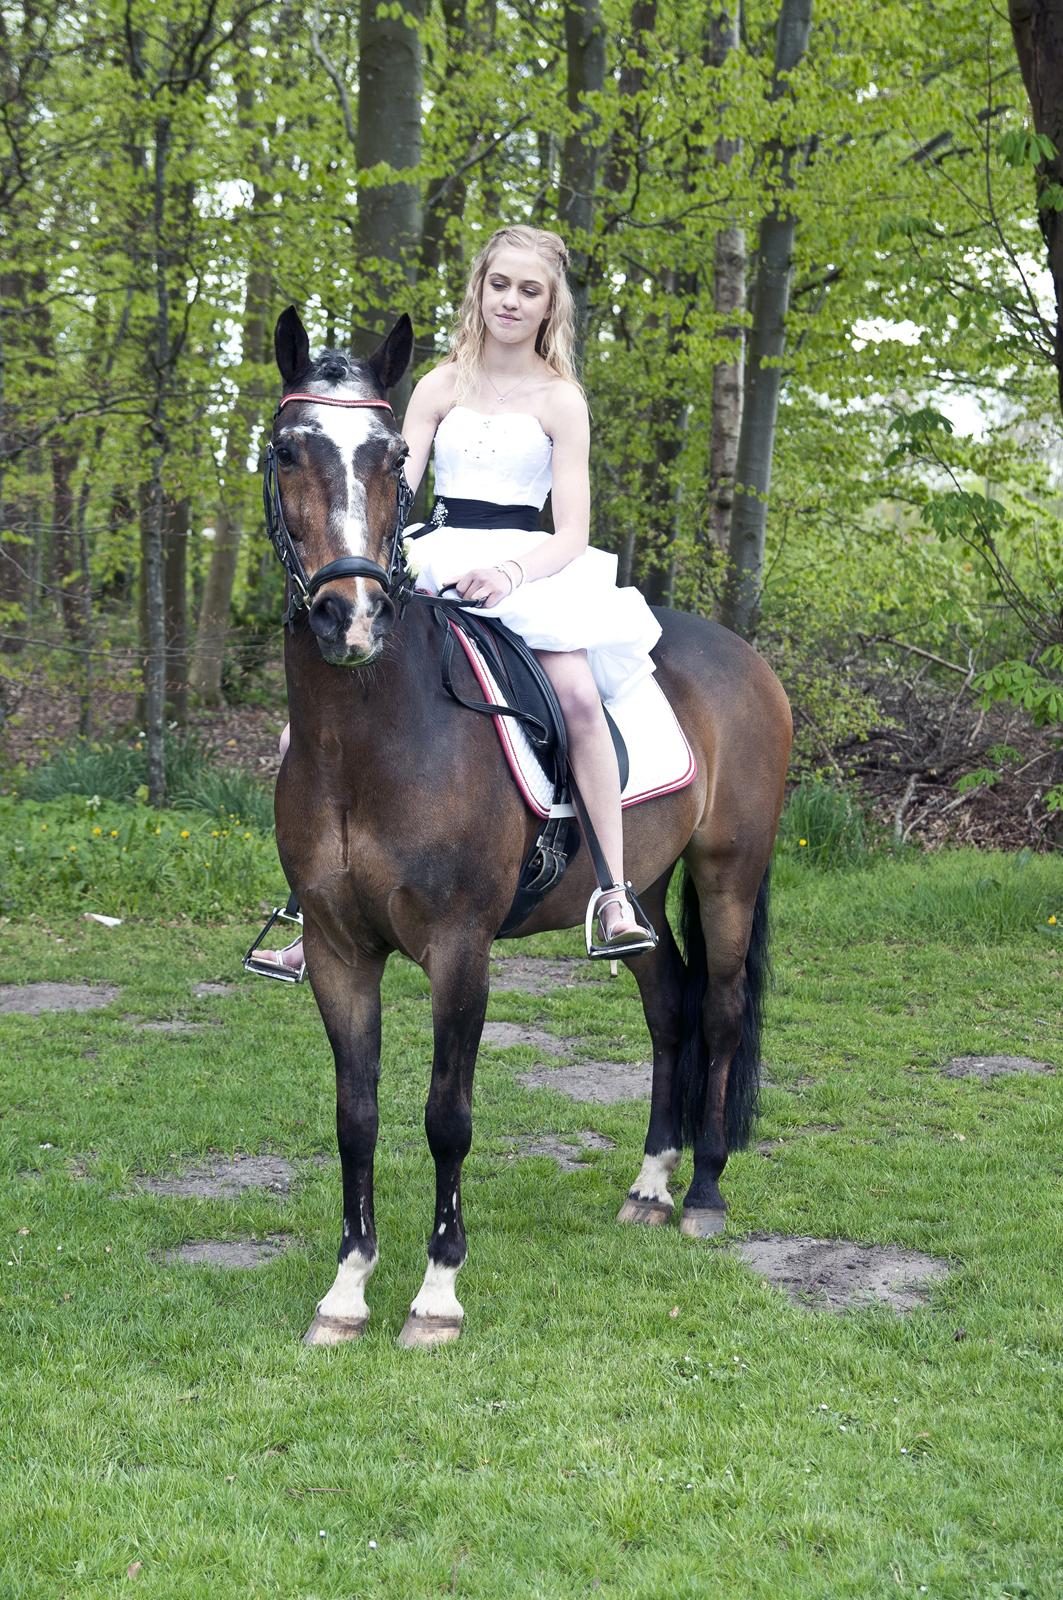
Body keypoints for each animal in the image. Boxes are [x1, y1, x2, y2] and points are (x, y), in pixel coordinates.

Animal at [266, 306, 792, 1348]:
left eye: (392, 458)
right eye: (286, 449)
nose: (351, 616)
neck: (368, 732)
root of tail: (741, 656)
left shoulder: (459, 947)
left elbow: (447, 1115)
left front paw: (435, 1295)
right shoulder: (341, 950)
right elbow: (355, 1115)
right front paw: (346, 1291)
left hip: (729, 871)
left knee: (715, 1008)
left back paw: (704, 1195)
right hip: (642, 890)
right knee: (669, 1004)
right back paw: (649, 1185)